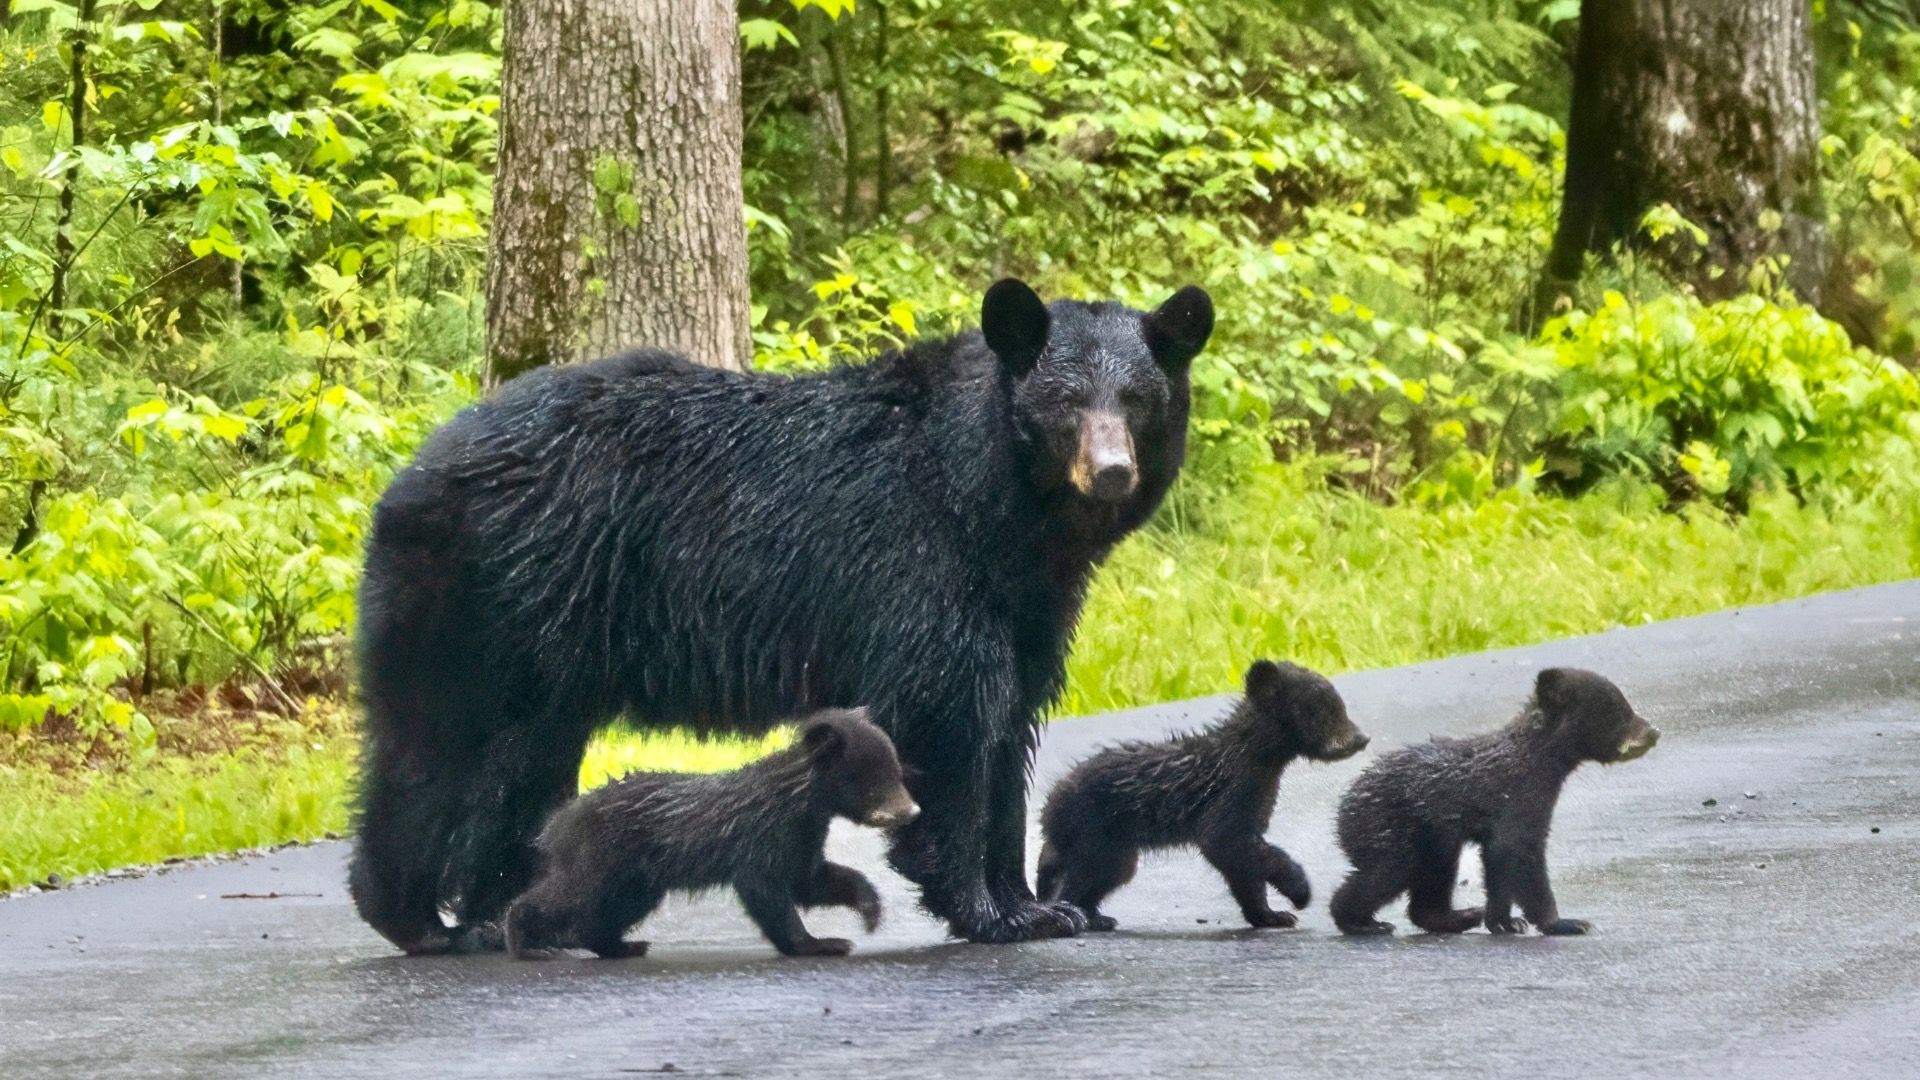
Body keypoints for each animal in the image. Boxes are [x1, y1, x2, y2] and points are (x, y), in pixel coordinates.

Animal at [353, 276, 1205, 949]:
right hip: (505, 597)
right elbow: (950, 715)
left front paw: (1041, 905)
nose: (1111, 471)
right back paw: (435, 917)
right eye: (1065, 402)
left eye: (1138, 400)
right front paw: (990, 911)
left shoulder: (1028, 603)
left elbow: (1010, 724)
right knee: (458, 753)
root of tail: (413, 472)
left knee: (482, 760)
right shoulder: (919, 565)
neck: (996, 508)